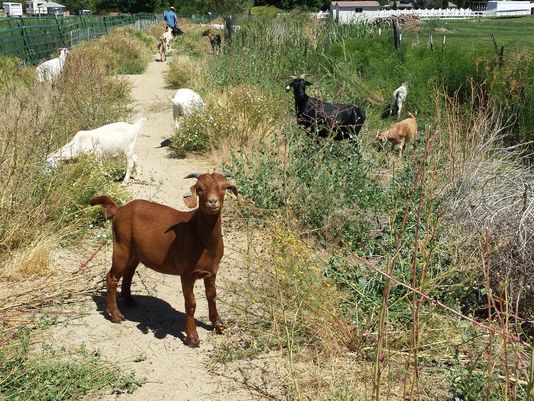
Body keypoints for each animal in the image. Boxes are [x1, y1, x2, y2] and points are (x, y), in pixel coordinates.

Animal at [90, 172, 239, 346]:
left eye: (224, 188)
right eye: (199, 188)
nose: (212, 201)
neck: (201, 238)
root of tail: (119, 209)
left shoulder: (212, 271)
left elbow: (212, 297)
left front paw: (219, 325)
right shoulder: (186, 273)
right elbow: (191, 303)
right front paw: (192, 337)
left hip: (135, 252)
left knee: (129, 273)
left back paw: (129, 301)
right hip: (122, 246)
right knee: (112, 277)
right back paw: (115, 315)